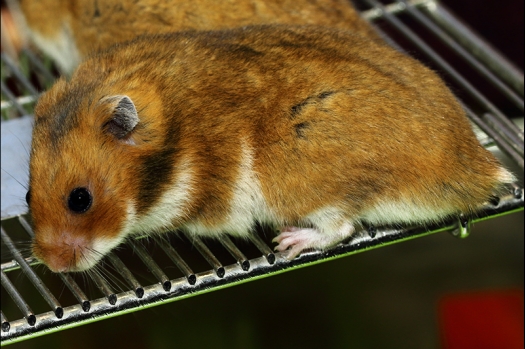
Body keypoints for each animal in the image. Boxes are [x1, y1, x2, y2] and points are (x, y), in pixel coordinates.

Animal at [26, 25, 512, 274]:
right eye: (28, 196)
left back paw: (289, 241)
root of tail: (477, 168)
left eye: (80, 199)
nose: (51, 265)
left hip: (298, 179)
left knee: (341, 226)